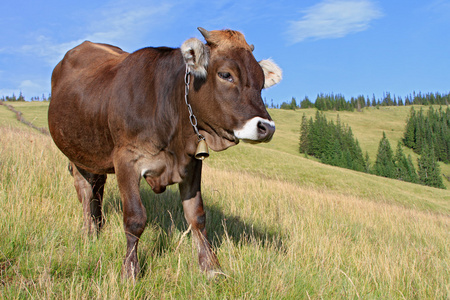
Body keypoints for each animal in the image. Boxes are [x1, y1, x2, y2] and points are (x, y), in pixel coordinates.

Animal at [48, 28, 282, 278]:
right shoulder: (126, 159)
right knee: (85, 191)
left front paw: (211, 267)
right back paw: (88, 233)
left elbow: (197, 216)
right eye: (226, 74)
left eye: (261, 83)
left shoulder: (192, 164)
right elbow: (135, 218)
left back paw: (97, 228)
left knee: (97, 189)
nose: (267, 127)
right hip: (77, 153)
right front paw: (130, 270)